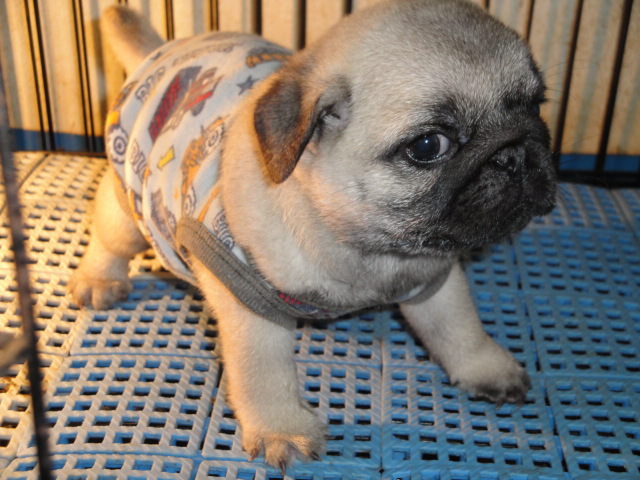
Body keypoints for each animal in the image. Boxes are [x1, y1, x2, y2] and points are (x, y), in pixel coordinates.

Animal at [69, 0, 556, 469]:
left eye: (536, 105)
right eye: (427, 146)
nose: (514, 153)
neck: (367, 250)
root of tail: (161, 50)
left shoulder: (434, 276)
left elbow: (459, 327)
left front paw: (485, 367)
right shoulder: (250, 305)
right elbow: (263, 374)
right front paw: (280, 429)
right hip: (130, 207)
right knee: (110, 238)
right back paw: (99, 280)